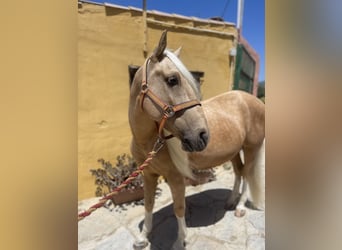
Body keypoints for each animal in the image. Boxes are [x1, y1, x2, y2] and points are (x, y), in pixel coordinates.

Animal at [128, 30, 264, 248]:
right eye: (172, 79)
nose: (202, 135)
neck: (149, 142)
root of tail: (255, 101)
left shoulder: (175, 178)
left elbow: (179, 208)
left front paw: (179, 242)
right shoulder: (148, 175)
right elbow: (148, 204)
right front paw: (143, 238)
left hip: (251, 148)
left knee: (247, 175)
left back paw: (240, 207)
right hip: (234, 151)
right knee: (239, 172)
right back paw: (230, 202)